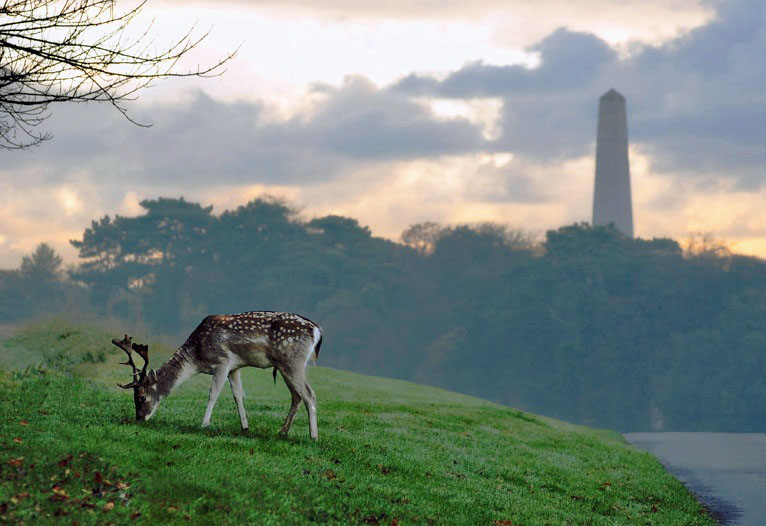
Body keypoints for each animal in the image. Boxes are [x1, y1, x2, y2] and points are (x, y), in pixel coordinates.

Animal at [112, 311, 322, 440]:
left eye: (141, 397)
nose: (139, 419)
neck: (197, 357)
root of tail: (317, 330)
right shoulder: (235, 368)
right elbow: (238, 396)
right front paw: (245, 427)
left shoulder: (222, 362)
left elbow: (213, 394)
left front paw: (204, 424)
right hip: (285, 366)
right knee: (296, 396)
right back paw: (282, 431)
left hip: (292, 362)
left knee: (309, 394)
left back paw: (313, 436)